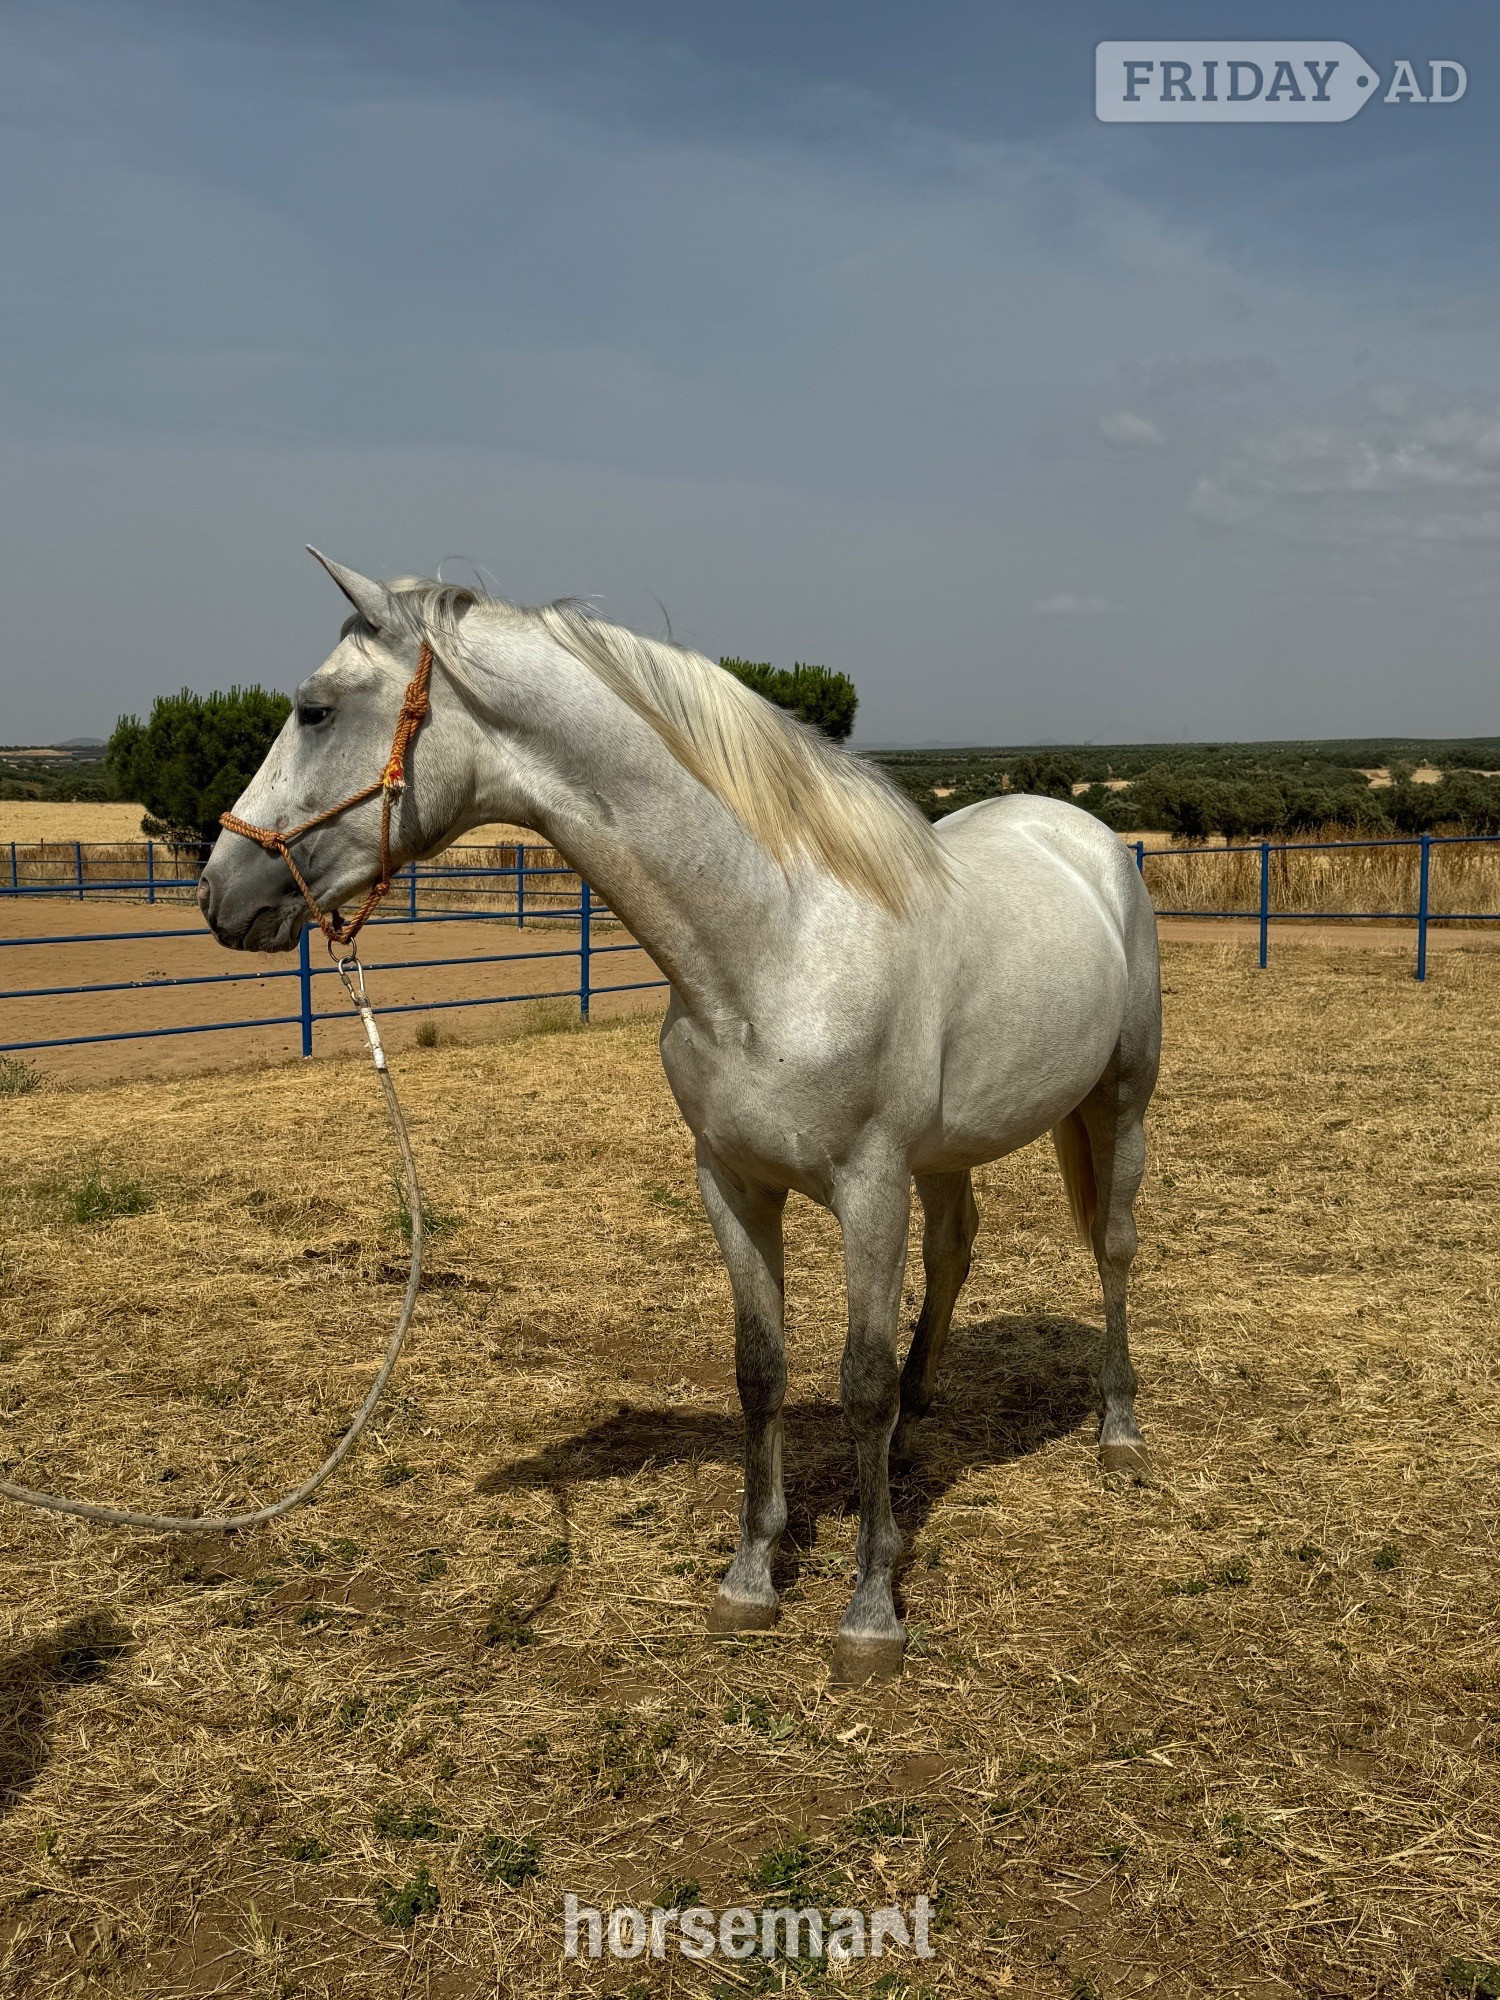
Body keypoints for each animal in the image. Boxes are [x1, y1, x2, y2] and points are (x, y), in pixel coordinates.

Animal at [200, 552, 1161, 1683]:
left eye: (313, 709)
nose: (220, 892)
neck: (775, 943)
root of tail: (1085, 834)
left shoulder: (868, 1188)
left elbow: (860, 1380)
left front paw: (871, 1609)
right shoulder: (731, 1183)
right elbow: (761, 1370)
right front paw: (751, 1577)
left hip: (1120, 1100)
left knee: (1112, 1247)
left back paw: (1118, 1428)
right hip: (948, 1152)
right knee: (958, 1246)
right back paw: (930, 1413)